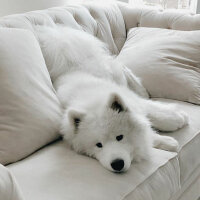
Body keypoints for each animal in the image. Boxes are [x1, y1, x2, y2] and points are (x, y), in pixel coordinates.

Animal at [35, 25, 188, 173]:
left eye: (119, 137)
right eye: (99, 145)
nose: (117, 164)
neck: (93, 103)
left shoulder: (132, 100)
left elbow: (154, 112)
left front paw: (179, 118)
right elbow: (147, 132)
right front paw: (168, 142)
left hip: (111, 72)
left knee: (124, 69)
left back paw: (142, 90)